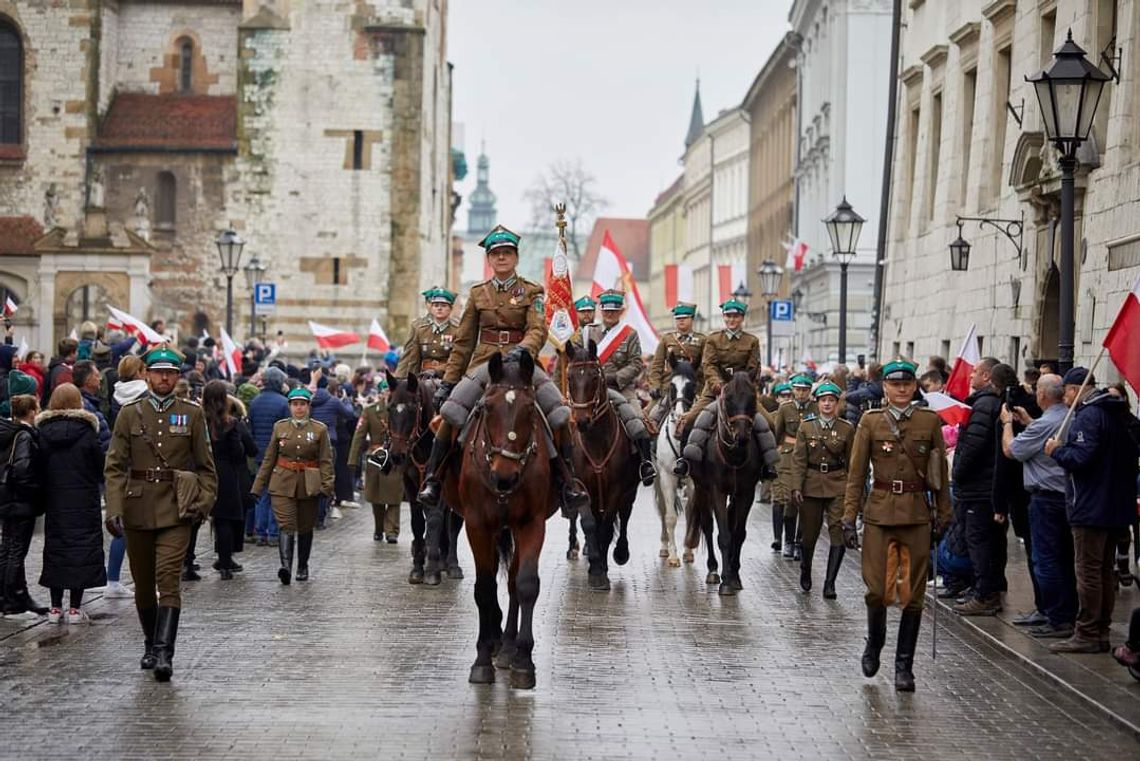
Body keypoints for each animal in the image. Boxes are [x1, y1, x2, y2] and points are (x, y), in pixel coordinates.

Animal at [385, 371, 465, 587]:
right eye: (389, 407)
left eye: (413, 408)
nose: (397, 455)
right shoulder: (410, 484)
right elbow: (417, 522)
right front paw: (418, 568)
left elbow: (436, 519)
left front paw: (432, 570)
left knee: (453, 522)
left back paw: (451, 563)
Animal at [440, 353, 556, 688]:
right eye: (487, 407)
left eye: (530, 408)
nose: (505, 477)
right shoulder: (478, 525)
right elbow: (484, 587)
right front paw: (481, 659)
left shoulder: (531, 523)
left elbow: (526, 583)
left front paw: (523, 660)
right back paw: (493, 642)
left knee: (514, 581)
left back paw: (506, 647)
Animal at [563, 341, 642, 592]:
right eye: (570, 377)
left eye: (594, 376)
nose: (581, 421)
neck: (596, 441)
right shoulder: (582, 486)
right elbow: (590, 524)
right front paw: (596, 569)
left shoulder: (616, 489)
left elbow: (607, 527)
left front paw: (602, 571)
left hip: (629, 491)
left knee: (624, 517)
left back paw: (620, 553)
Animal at [679, 371, 779, 596]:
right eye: (727, 398)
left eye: (753, 398)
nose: (741, 435)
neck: (733, 455)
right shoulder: (717, 491)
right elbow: (723, 535)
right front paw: (725, 581)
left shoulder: (746, 492)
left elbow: (738, 533)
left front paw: (734, 576)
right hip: (701, 488)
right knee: (707, 525)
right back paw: (713, 570)